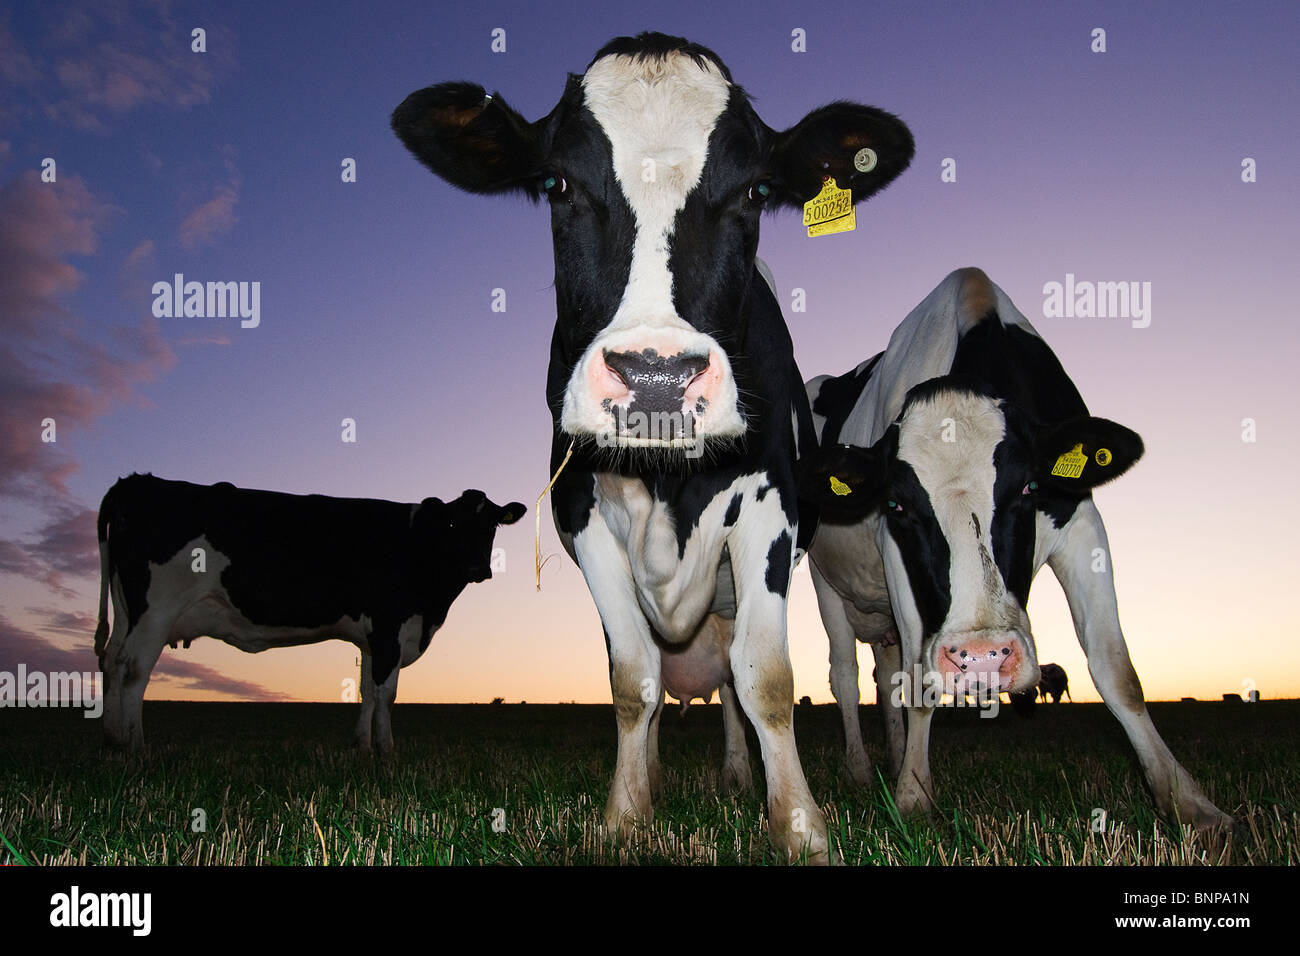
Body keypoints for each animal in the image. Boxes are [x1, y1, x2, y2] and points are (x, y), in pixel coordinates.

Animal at [93, 473, 524, 751]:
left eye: (493, 526)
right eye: (453, 523)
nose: (479, 568)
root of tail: (135, 480)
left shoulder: (371, 637)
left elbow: (367, 690)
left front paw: (362, 746)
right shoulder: (390, 626)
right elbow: (387, 693)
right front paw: (387, 752)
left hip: (127, 607)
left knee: (111, 659)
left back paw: (113, 739)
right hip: (157, 609)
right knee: (134, 667)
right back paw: (136, 747)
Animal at [391, 32, 914, 862]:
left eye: (755, 192)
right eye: (558, 183)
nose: (656, 377)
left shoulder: (770, 507)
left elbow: (765, 678)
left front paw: (800, 825)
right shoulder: (581, 513)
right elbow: (631, 677)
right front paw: (626, 814)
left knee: (732, 675)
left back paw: (744, 775)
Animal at [800, 267, 1232, 833]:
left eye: (1027, 487)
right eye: (896, 504)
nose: (984, 658)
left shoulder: (1082, 523)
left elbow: (1117, 669)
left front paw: (1188, 801)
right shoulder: (894, 554)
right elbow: (920, 678)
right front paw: (914, 796)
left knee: (883, 672)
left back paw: (894, 759)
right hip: (826, 584)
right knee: (846, 674)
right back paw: (859, 768)